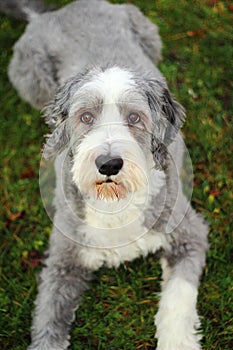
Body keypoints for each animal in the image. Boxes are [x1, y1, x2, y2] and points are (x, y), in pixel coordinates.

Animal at [7, 0, 208, 350]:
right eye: (86, 117)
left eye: (135, 118)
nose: (109, 164)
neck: (115, 202)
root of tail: (51, 13)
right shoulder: (63, 260)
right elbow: (48, 317)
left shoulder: (190, 235)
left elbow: (178, 298)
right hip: (30, 79)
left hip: (149, 33)